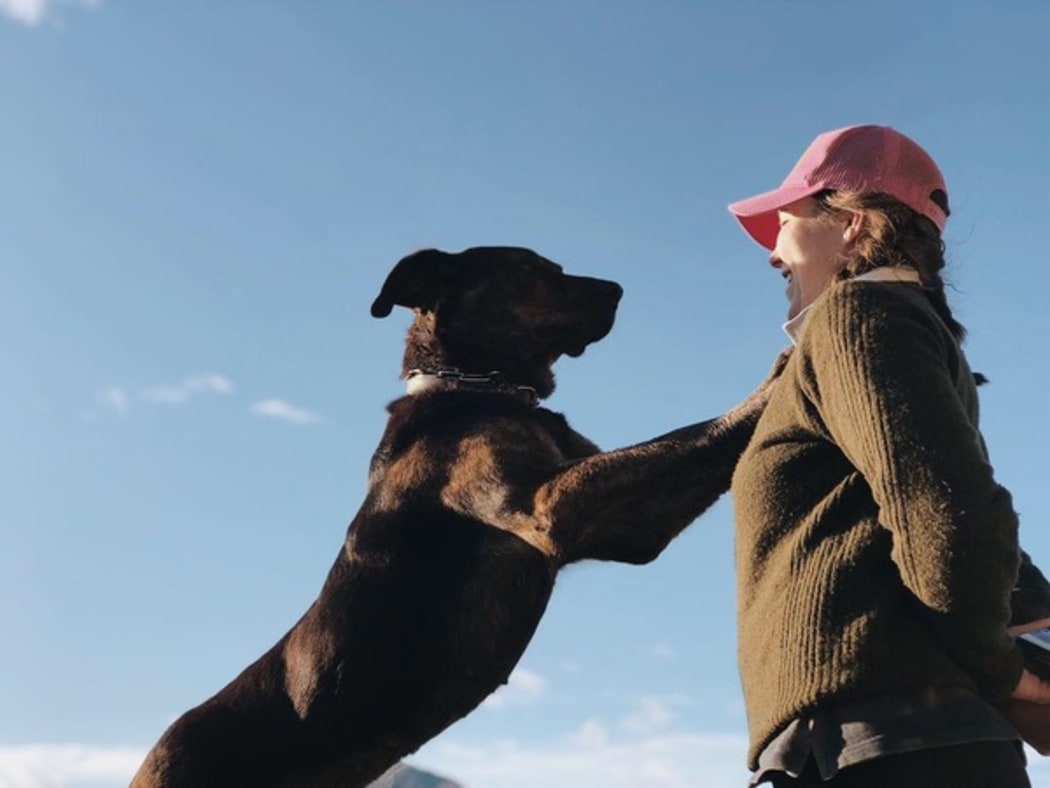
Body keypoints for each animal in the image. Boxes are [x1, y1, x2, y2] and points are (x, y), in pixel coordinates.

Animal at [131, 246, 781, 788]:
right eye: (528, 269)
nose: (617, 289)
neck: (475, 389)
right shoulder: (553, 505)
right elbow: (694, 432)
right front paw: (774, 378)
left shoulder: (621, 509)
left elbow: (688, 447)